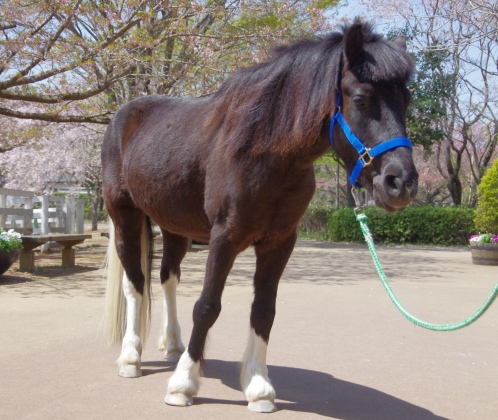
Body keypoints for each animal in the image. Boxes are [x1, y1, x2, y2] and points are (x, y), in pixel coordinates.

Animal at [103, 19, 418, 414]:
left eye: (406, 100)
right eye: (360, 99)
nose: (401, 182)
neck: (263, 150)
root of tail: (124, 115)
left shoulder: (279, 242)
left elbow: (264, 310)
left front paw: (258, 387)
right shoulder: (224, 238)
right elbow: (207, 306)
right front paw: (183, 384)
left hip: (175, 227)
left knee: (167, 278)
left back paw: (174, 345)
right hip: (125, 218)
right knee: (136, 283)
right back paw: (131, 356)